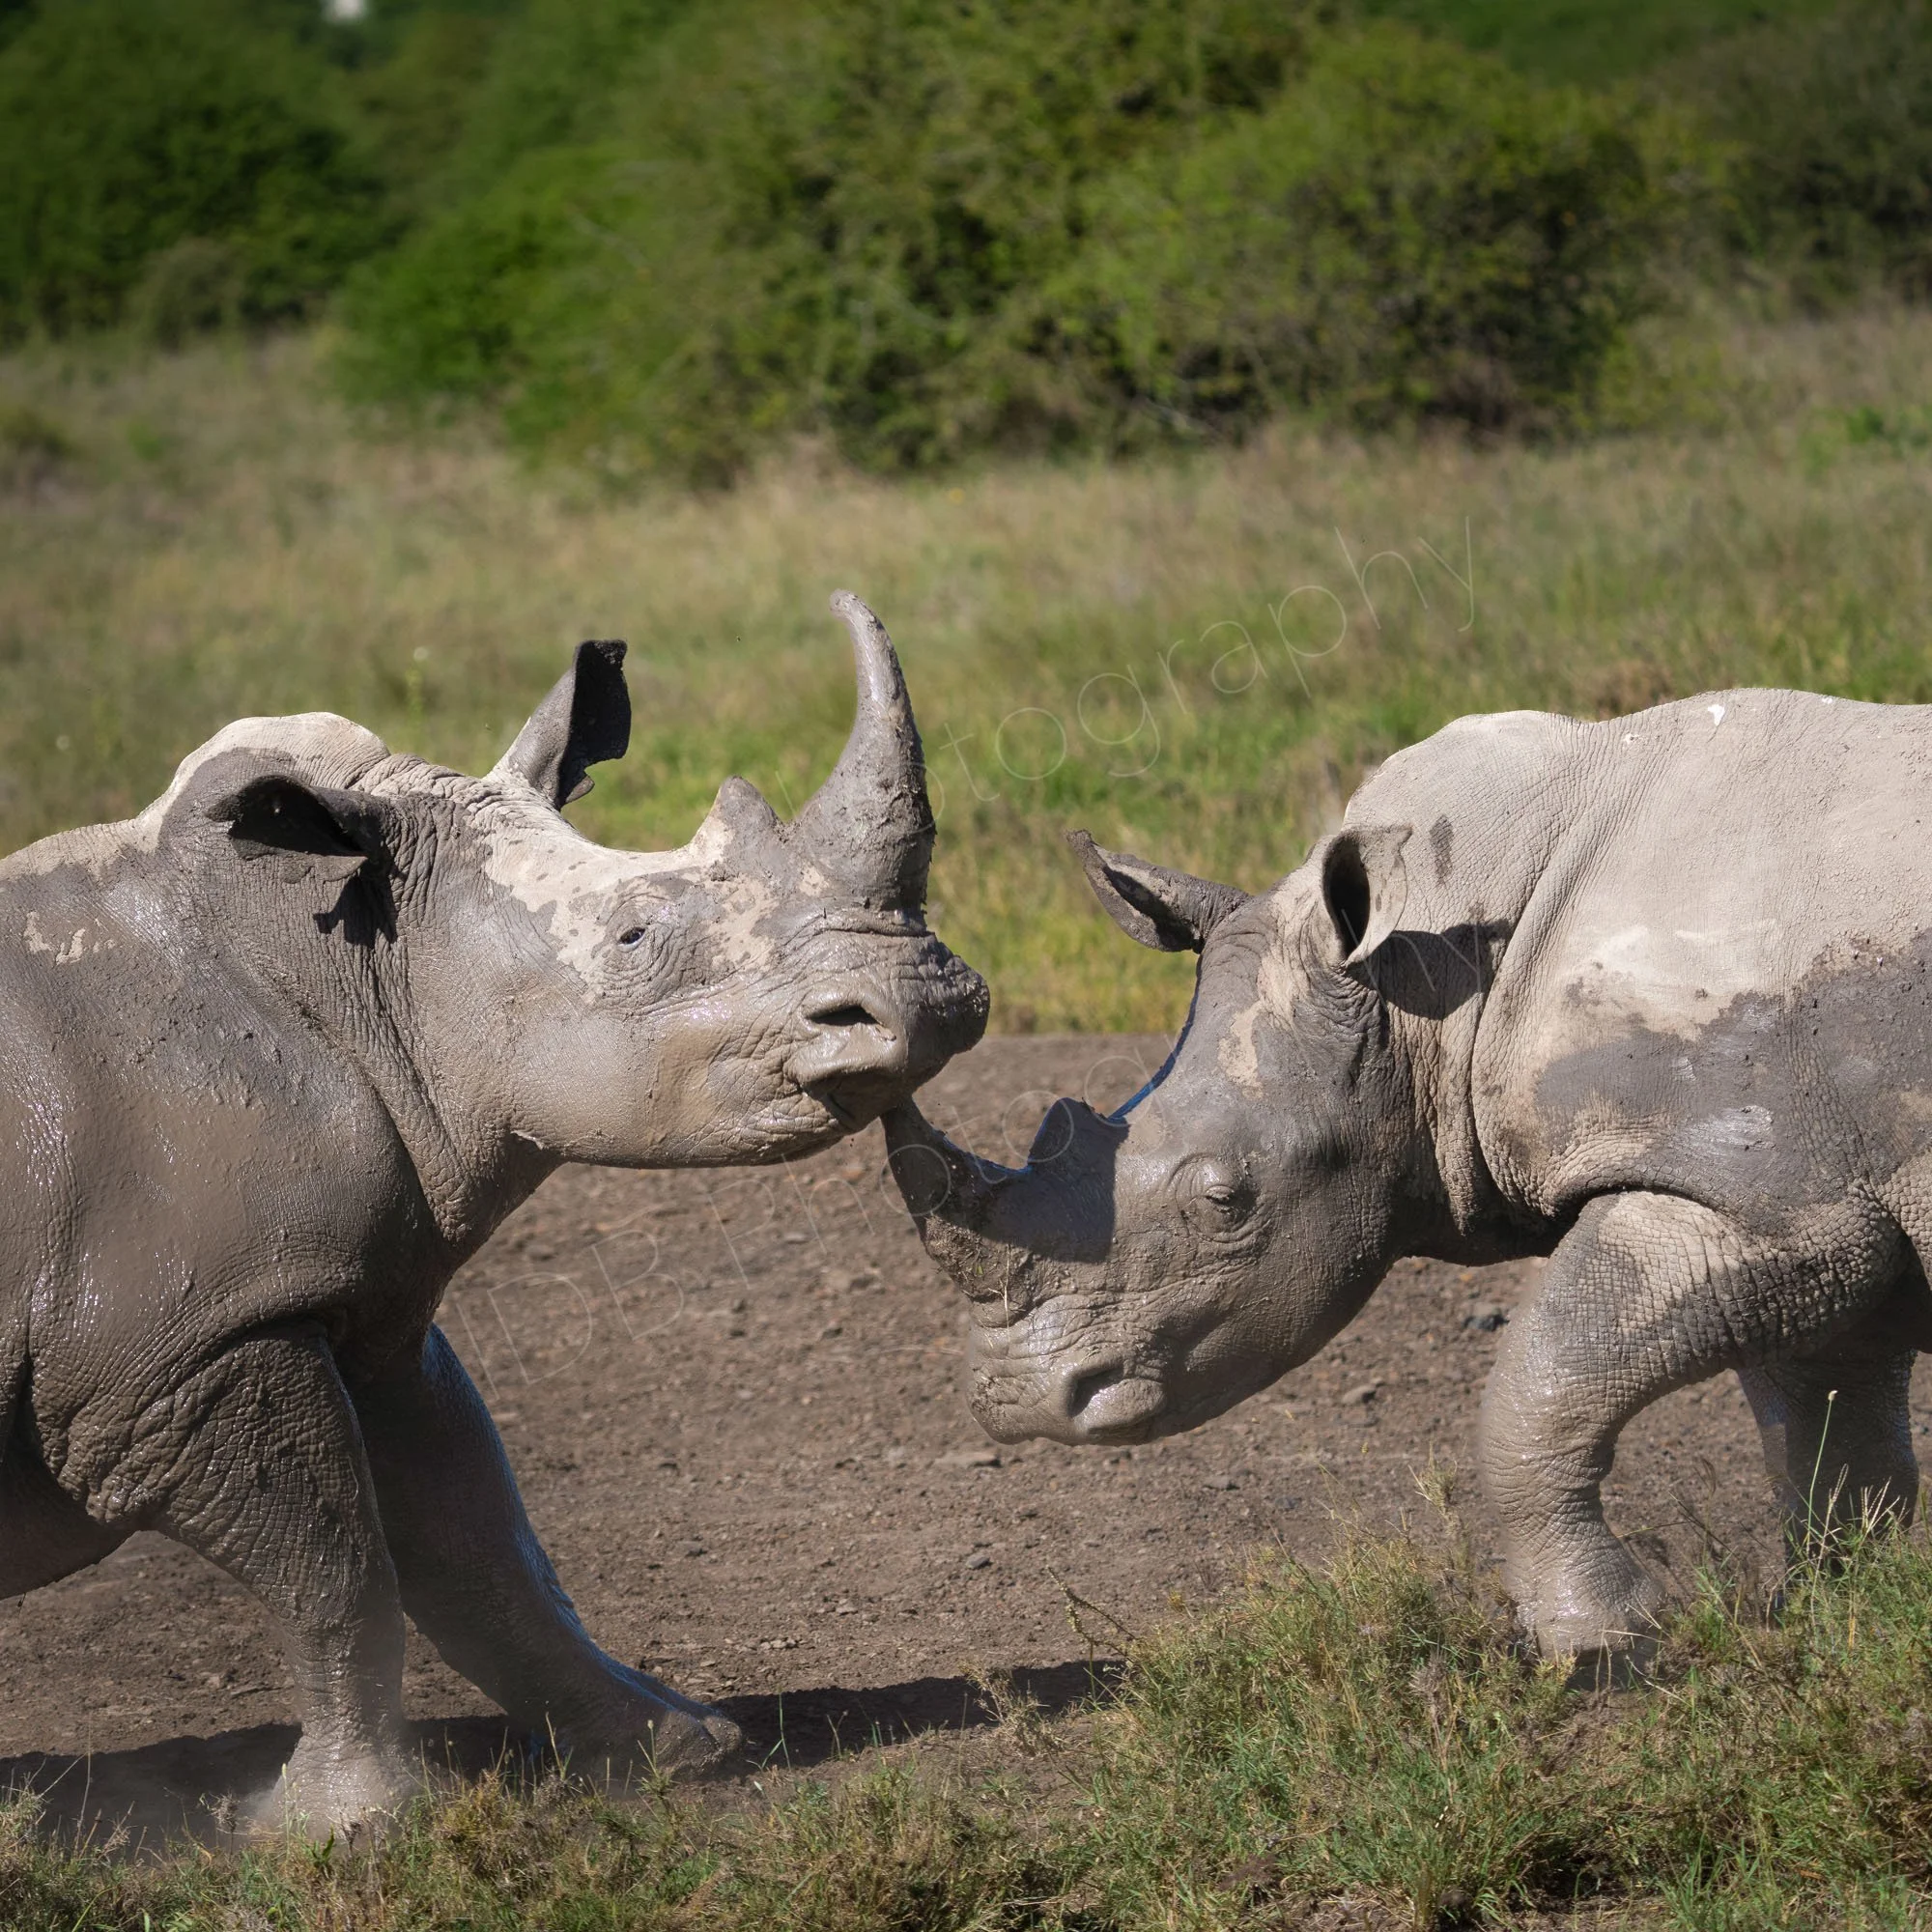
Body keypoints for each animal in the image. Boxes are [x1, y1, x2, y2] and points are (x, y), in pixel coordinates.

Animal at [0, 591, 985, 1831]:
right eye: (634, 937)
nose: (926, 998)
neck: (361, 967)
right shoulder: (175, 1350)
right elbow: (332, 1562)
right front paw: (351, 1829)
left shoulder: (363, 1305)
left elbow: (474, 1534)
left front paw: (675, 1746)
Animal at [887, 688, 1932, 1670]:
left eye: (1226, 1202)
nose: (1018, 1399)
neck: (1431, 988)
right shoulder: (1820, 1202)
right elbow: (1828, 1426)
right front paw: (1850, 1609)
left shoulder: (1778, 1209)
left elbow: (1541, 1382)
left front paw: (1602, 1646)